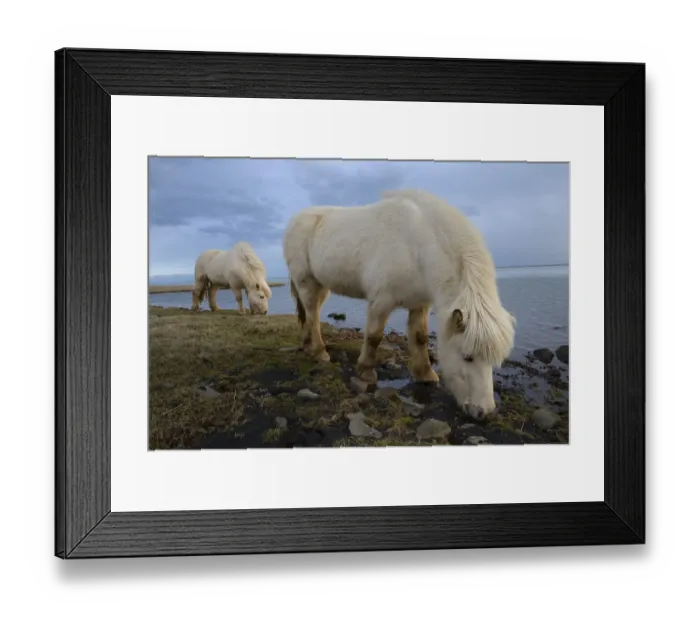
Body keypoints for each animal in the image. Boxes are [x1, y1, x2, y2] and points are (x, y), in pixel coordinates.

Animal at [282, 188, 516, 419]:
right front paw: (366, 371)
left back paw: (307, 345)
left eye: (495, 361)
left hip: (321, 286)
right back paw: (320, 353)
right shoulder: (382, 300)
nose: (484, 412)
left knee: (310, 313)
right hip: (306, 282)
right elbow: (374, 336)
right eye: (467, 357)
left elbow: (420, 337)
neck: (417, 245)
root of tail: (295, 220)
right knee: (312, 315)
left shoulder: (419, 303)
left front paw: (425, 374)